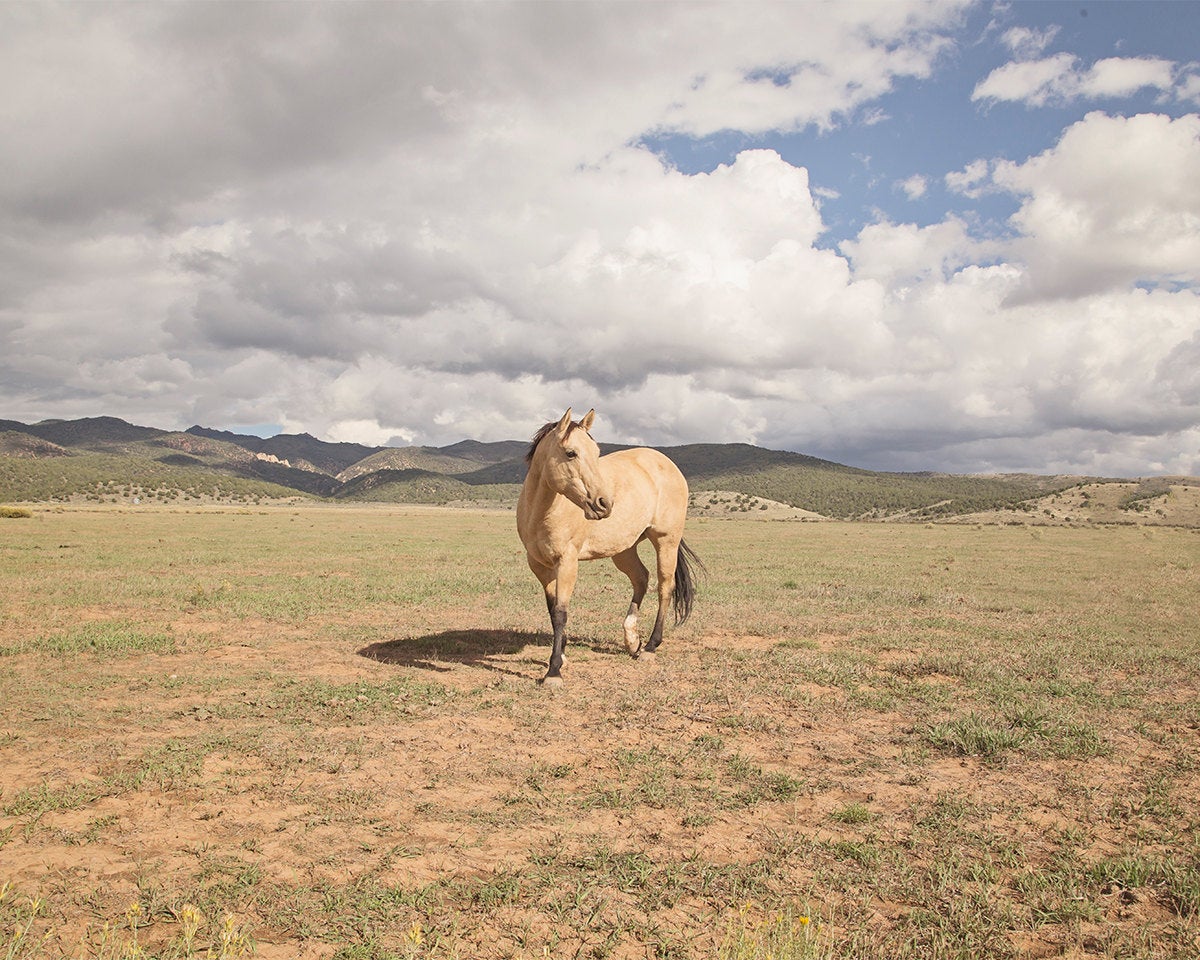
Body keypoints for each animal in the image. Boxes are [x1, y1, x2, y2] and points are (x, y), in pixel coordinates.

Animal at [516, 408, 700, 686]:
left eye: (596, 452)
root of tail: (667, 464)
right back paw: (632, 640)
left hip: (666, 540)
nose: (604, 503)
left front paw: (554, 671)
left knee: (665, 588)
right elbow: (552, 610)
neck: (542, 513)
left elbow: (560, 612)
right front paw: (562, 656)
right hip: (625, 550)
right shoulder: (539, 566)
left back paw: (650, 647)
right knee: (641, 579)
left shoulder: (567, 562)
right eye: (571, 453)